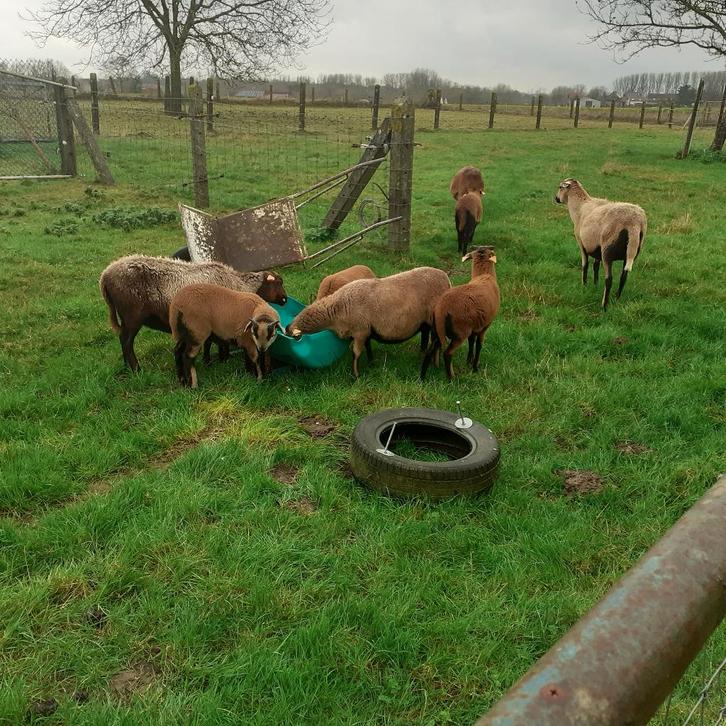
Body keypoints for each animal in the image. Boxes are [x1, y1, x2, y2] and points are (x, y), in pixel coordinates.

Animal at [99, 254, 287, 371]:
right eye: (278, 283)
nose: (285, 300)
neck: (240, 285)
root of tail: (105, 275)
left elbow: (209, 342)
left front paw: (210, 360)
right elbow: (217, 342)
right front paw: (221, 359)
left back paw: (127, 367)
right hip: (132, 316)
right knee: (126, 341)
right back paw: (136, 368)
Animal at [286, 267, 451, 378]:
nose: (286, 328)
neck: (336, 310)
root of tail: (445, 278)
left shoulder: (360, 331)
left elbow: (356, 353)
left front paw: (356, 376)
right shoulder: (365, 330)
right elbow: (368, 347)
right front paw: (371, 363)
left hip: (434, 320)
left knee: (436, 342)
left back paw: (432, 366)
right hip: (425, 322)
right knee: (427, 337)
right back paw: (426, 358)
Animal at [421, 246, 500, 381]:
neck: (484, 275)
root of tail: (442, 308)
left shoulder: (474, 326)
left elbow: (472, 341)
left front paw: (469, 361)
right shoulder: (485, 325)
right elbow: (479, 345)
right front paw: (475, 367)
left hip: (437, 329)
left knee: (429, 351)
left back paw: (422, 378)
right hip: (460, 331)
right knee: (447, 353)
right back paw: (451, 379)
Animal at [554, 179, 647, 310]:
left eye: (560, 187)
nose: (556, 198)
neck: (579, 206)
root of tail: (634, 223)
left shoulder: (581, 244)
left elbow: (585, 265)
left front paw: (584, 285)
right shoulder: (596, 248)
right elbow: (595, 266)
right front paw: (595, 285)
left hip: (607, 251)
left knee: (609, 280)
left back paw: (604, 306)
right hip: (632, 251)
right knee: (623, 276)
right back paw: (617, 297)